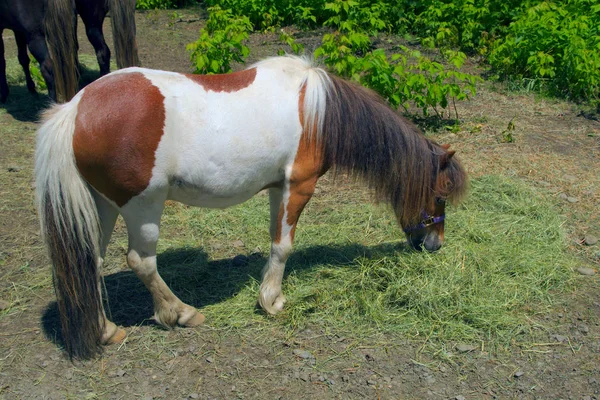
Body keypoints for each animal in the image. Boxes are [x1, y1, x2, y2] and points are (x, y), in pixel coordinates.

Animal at [0, 0, 138, 102]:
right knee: (102, 52)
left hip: (36, 35)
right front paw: (31, 88)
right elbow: (23, 58)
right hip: (91, 22)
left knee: (48, 67)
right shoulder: (18, 29)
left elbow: (3, 61)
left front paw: (4, 94)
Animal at [35, 54, 468, 358]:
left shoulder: (279, 188)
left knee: (90, 260)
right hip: (142, 206)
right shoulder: (299, 186)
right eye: (441, 193)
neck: (318, 112)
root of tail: (76, 107)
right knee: (141, 261)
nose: (435, 244)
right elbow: (284, 245)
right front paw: (272, 301)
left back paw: (106, 330)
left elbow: (275, 241)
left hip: (102, 205)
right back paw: (180, 313)